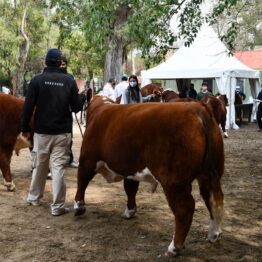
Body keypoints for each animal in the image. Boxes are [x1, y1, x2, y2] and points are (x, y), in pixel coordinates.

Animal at [74, 95, 225, 255]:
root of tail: (198, 107)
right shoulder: (131, 168)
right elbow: (130, 189)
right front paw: (130, 212)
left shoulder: (86, 161)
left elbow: (81, 182)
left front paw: (78, 207)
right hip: (210, 173)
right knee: (214, 200)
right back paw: (213, 234)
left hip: (174, 181)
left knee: (185, 208)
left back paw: (174, 247)